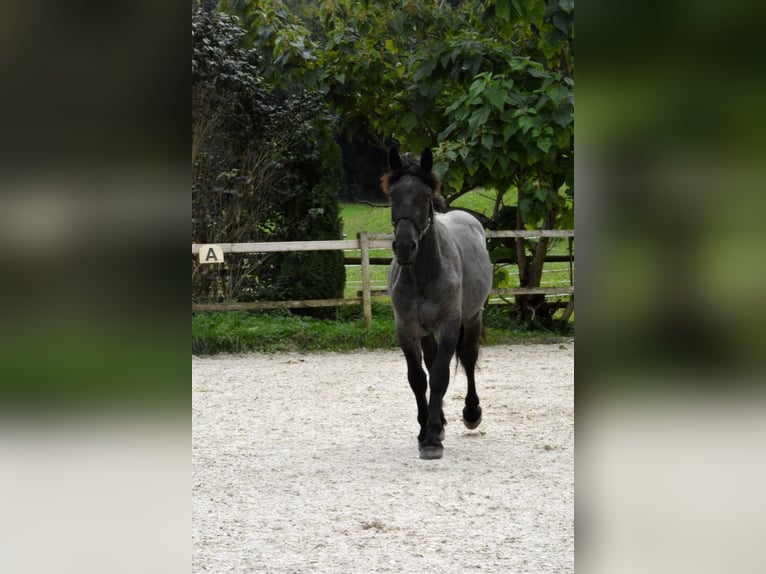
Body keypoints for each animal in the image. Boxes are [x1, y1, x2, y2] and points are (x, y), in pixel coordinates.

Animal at [382, 150, 496, 464]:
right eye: (393, 196)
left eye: (424, 197)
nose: (404, 246)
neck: (423, 273)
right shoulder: (407, 329)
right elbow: (418, 378)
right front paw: (427, 430)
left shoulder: (448, 325)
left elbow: (440, 376)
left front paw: (432, 439)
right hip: (426, 330)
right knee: (432, 362)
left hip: (472, 318)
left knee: (468, 358)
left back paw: (471, 413)